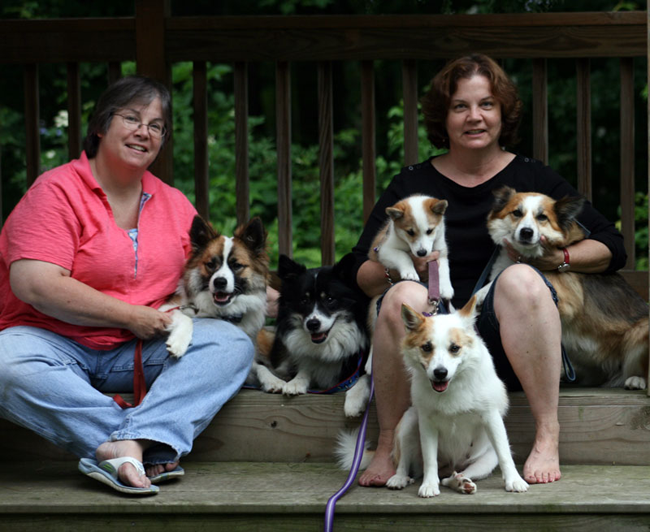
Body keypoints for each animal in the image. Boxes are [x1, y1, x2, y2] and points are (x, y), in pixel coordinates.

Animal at [162, 214, 284, 392]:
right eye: (211, 264)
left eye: (237, 265)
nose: (220, 282)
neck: (221, 312)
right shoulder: (166, 308)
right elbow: (186, 318)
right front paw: (178, 343)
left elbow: (259, 366)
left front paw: (272, 380)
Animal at [268, 251, 370, 418]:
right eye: (304, 300)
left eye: (329, 299)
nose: (312, 324)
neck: (328, 345)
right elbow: (306, 367)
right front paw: (296, 382)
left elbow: (365, 377)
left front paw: (354, 401)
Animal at [334, 298, 528, 496]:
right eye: (426, 347)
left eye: (455, 348)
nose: (440, 373)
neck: (452, 386)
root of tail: (450, 467)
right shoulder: (426, 424)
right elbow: (430, 460)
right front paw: (428, 484)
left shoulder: (492, 419)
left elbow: (505, 455)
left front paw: (514, 480)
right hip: (409, 423)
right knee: (404, 462)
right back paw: (400, 478)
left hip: (485, 461)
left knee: (454, 477)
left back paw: (460, 482)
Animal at [478, 187, 644, 390]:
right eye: (516, 213)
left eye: (542, 217)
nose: (526, 232)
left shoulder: (565, 301)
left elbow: (510, 273)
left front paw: (482, 293)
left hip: (641, 332)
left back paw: (637, 379)